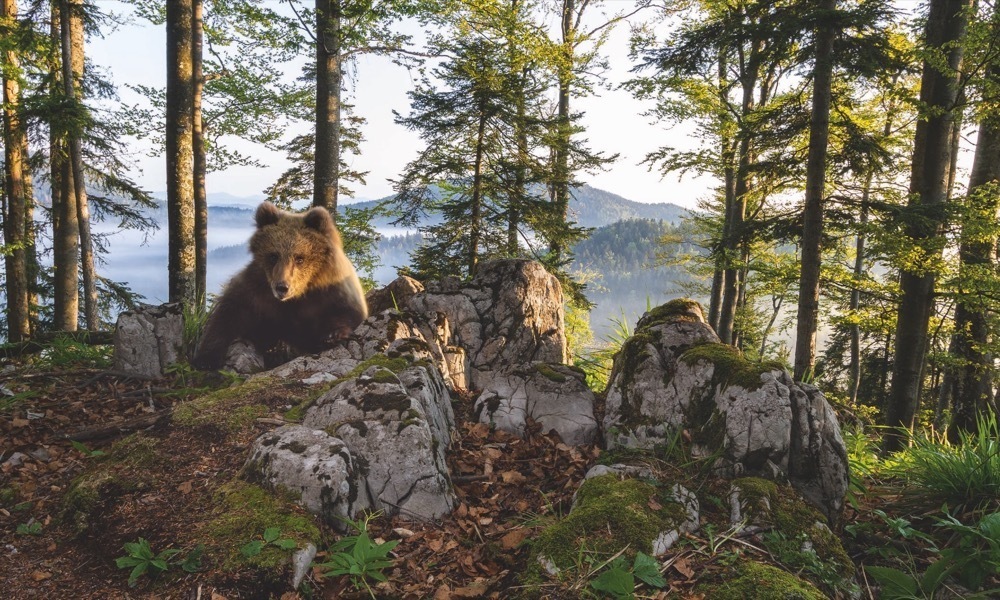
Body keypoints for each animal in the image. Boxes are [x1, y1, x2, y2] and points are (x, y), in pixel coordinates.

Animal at [193, 203, 370, 370]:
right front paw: (206, 359)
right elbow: (228, 313)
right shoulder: (257, 289)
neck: (299, 295)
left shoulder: (330, 290)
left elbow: (348, 312)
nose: (282, 287)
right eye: (273, 256)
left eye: (299, 258)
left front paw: (333, 335)